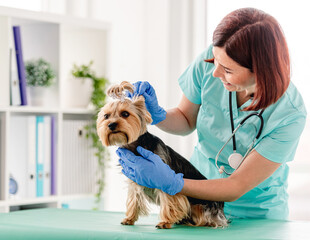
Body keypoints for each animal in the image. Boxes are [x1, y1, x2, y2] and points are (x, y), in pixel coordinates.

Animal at [97, 81, 228, 229]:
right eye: (106, 116)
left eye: (125, 114)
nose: (111, 125)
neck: (136, 145)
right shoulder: (135, 177)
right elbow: (133, 199)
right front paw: (129, 218)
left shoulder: (164, 180)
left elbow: (169, 200)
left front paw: (165, 222)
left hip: (203, 206)